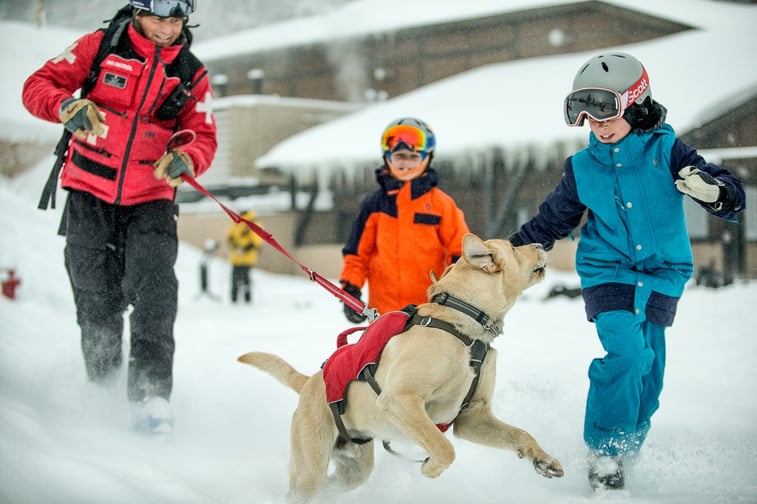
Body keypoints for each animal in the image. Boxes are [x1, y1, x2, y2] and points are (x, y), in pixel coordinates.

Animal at [239, 234, 564, 502]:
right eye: (514, 247)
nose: (541, 243)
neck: (464, 322)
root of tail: (309, 382)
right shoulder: (401, 400)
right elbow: (444, 448)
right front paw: (431, 468)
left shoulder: (474, 416)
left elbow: (520, 435)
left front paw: (542, 458)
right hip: (311, 466)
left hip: (353, 467)